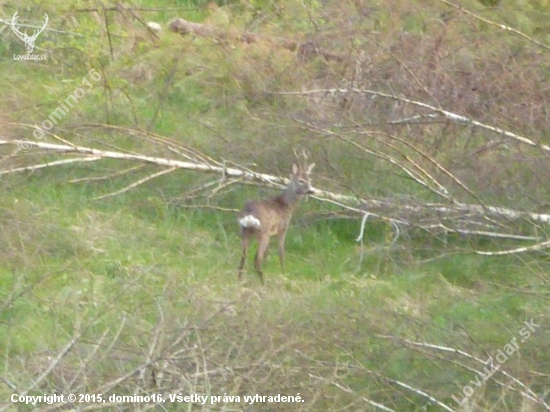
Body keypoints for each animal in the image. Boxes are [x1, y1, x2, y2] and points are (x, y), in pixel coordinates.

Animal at [239, 151, 316, 284]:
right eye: (301, 180)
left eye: (309, 179)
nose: (311, 190)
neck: (286, 204)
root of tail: (250, 214)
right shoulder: (282, 229)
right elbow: (281, 253)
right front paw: (284, 274)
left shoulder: (271, 233)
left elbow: (267, 254)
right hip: (263, 232)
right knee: (256, 259)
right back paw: (263, 282)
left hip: (245, 231)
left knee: (243, 258)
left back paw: (240, 279)